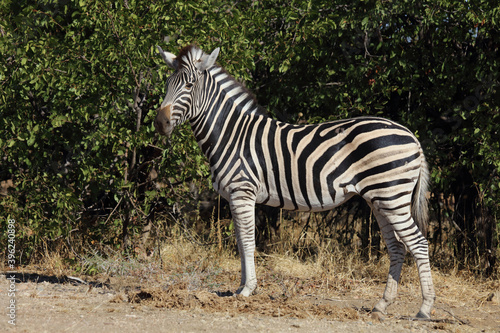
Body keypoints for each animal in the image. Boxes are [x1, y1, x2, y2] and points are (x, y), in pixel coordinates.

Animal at [154, 44, 436, 316]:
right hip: (380, 199)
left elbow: (247, 240)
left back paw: (424, 309)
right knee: (397, 247)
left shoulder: (242, 192)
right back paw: (382, 305)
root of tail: (411, 135)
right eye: (167, 84)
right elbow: (240, 241)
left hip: (391, 196)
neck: (231, 134)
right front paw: (241, 288)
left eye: (189, 85)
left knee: (419, 243)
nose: (160, 124)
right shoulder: (236, 196)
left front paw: (247, 290)